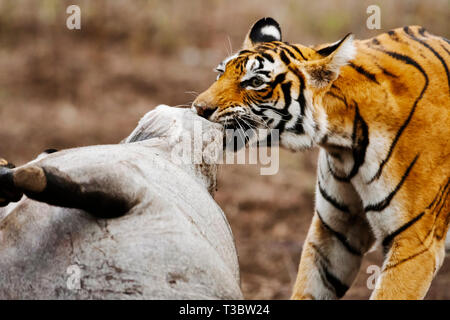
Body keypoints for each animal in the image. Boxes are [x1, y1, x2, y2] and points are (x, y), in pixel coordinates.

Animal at [193, 16, 450, 298]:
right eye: (220, 73)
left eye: (256, 82)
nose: (198, 108)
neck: (345, 145)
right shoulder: (335, 231)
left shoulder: (415, 242)